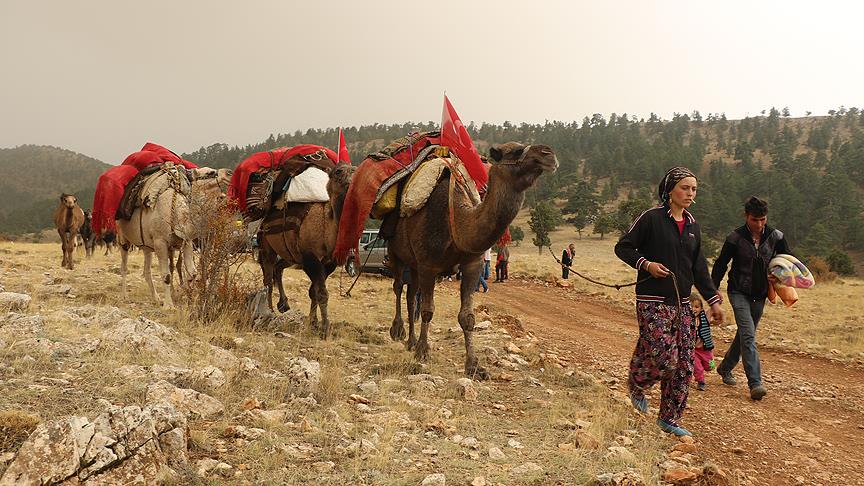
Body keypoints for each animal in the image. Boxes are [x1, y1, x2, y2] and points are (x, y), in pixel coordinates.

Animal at [118, 163, 235, 308]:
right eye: (209, 172)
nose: (229, 172)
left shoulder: (187, 241)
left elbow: (192, 273)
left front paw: (189, 300)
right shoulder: (160, 242)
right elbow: (166, 275)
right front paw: (169, 305)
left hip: (146, 245)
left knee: (146, 269)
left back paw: (156, 298)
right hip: (122, 237)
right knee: (124, 266)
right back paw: (125, 297)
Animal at [260, 163, 358, 338]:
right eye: (338, 171)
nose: (352, 181)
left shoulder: (328, 263)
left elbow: (314, 291)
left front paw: (313, 322)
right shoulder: (310, 258)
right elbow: (321, 293)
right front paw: (325, 328)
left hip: (291, 255)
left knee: (279, 268)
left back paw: (283, 305)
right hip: (267, 245)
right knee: (268, 277)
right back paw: (270, 310)